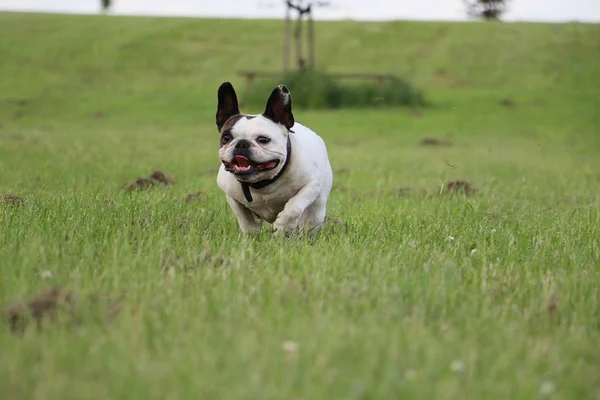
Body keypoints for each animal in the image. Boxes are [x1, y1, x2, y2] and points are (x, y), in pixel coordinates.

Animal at [214, 82, 332, 236]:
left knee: (309, 221)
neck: (262, 183)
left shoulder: (311, 185)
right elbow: (244, 216)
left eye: (263, 139)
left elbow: (294, 206)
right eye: (226, 138)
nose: (242, 143)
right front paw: (251, 234)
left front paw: (283, 226)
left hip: (317, 209)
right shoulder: (231, 195)